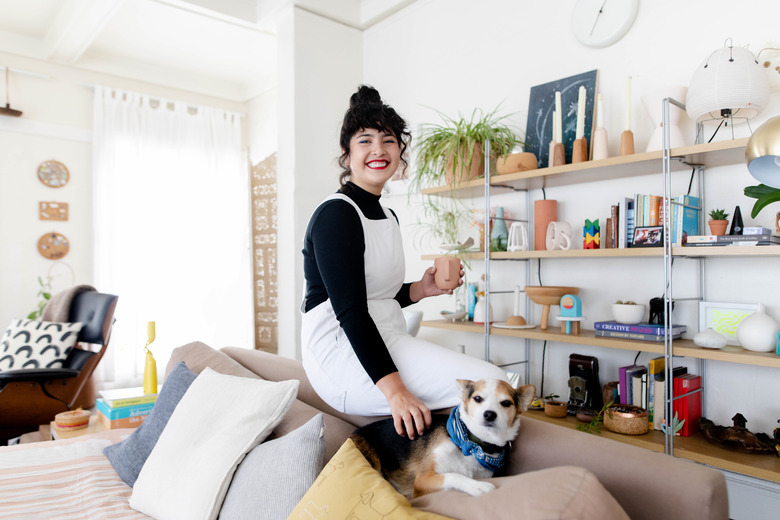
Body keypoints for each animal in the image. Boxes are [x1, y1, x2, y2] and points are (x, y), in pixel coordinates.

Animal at [348, 380, 536, 498]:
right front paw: (477, 486)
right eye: (477, 398)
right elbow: (454, 476)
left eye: (506, 403)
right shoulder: (423, 480)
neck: (471, 445)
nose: (489, 414)